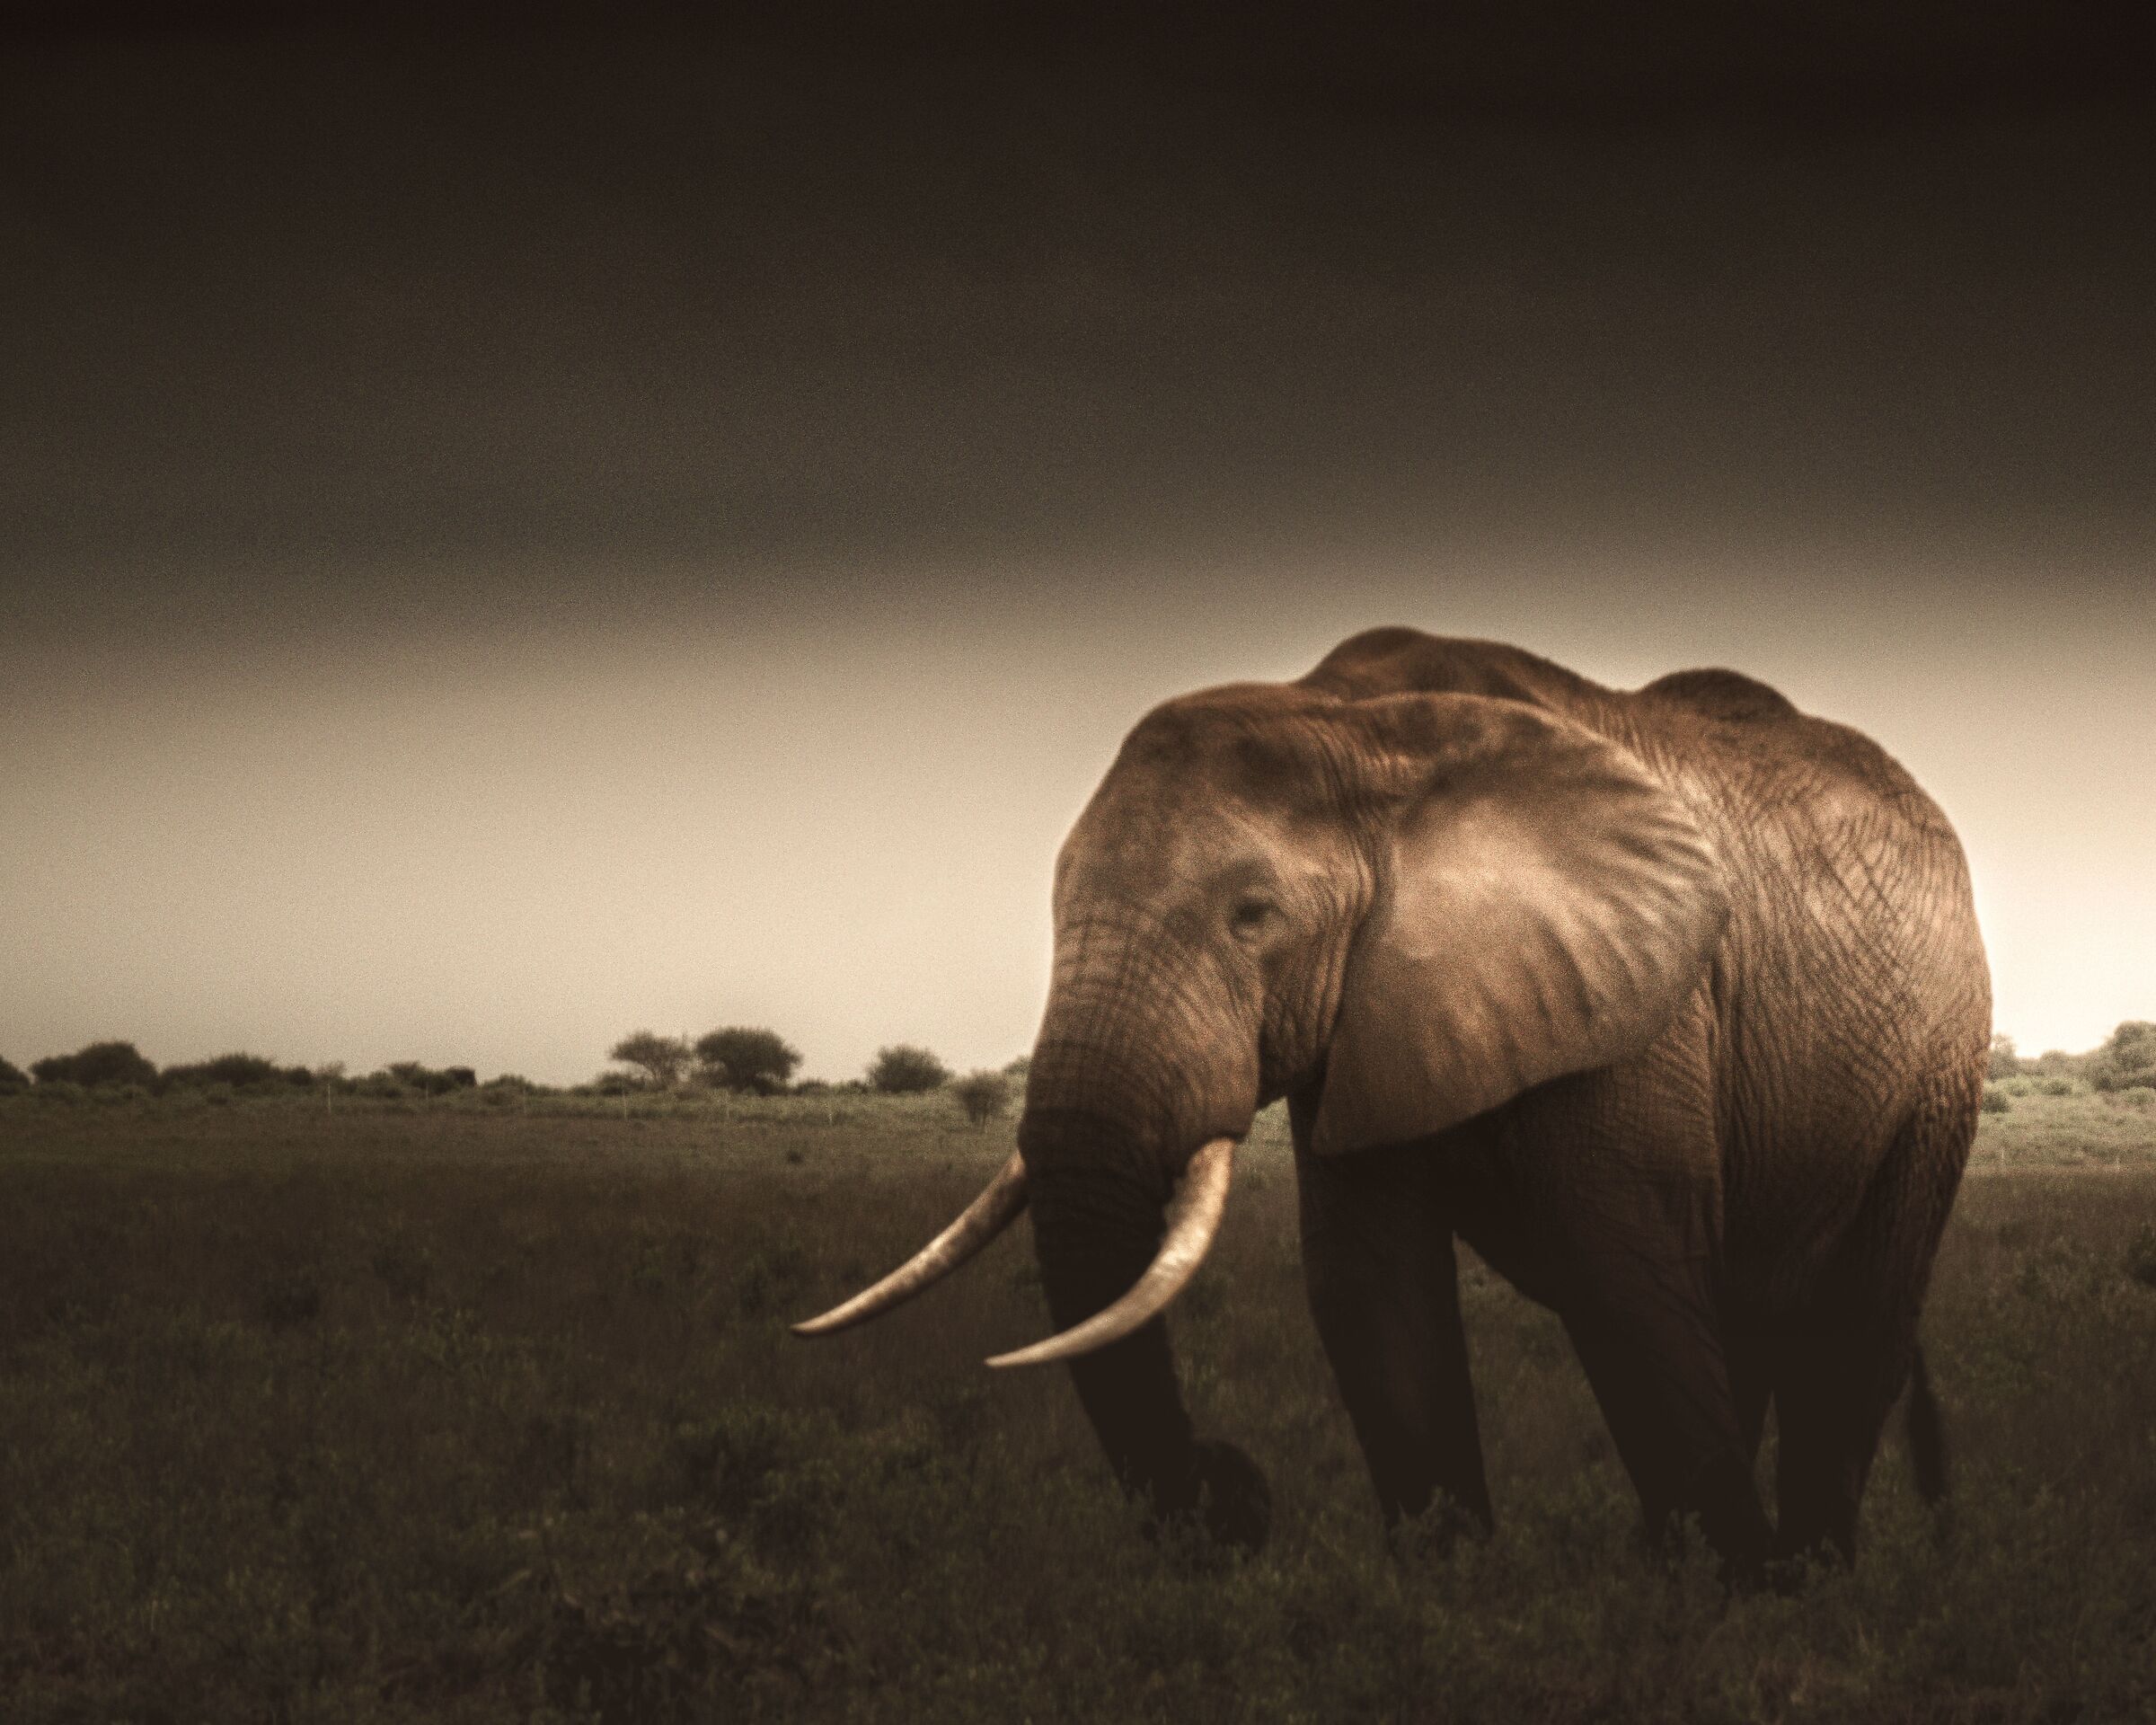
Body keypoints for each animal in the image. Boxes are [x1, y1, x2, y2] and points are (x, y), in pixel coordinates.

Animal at [799, 628, 1989, 1579]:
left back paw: (1808, 1584)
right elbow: (1372, 1290)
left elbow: (1629, 1277)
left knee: (1845, 1336)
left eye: (1252, 916)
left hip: (1936, 1069)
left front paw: (1727, 1605)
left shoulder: (1647, 1007)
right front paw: (1451, 1599)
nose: (1235, 1499)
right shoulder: (1362, 1022)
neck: (1350, 722)